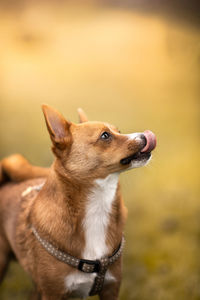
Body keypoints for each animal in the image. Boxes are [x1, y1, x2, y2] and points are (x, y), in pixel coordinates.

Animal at [0, 105, 155, 298]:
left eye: (118, 131)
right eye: (105, 136)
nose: (145, 136)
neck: (97, 206)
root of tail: (5, 181)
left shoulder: (111, 289)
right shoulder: (52, 293)